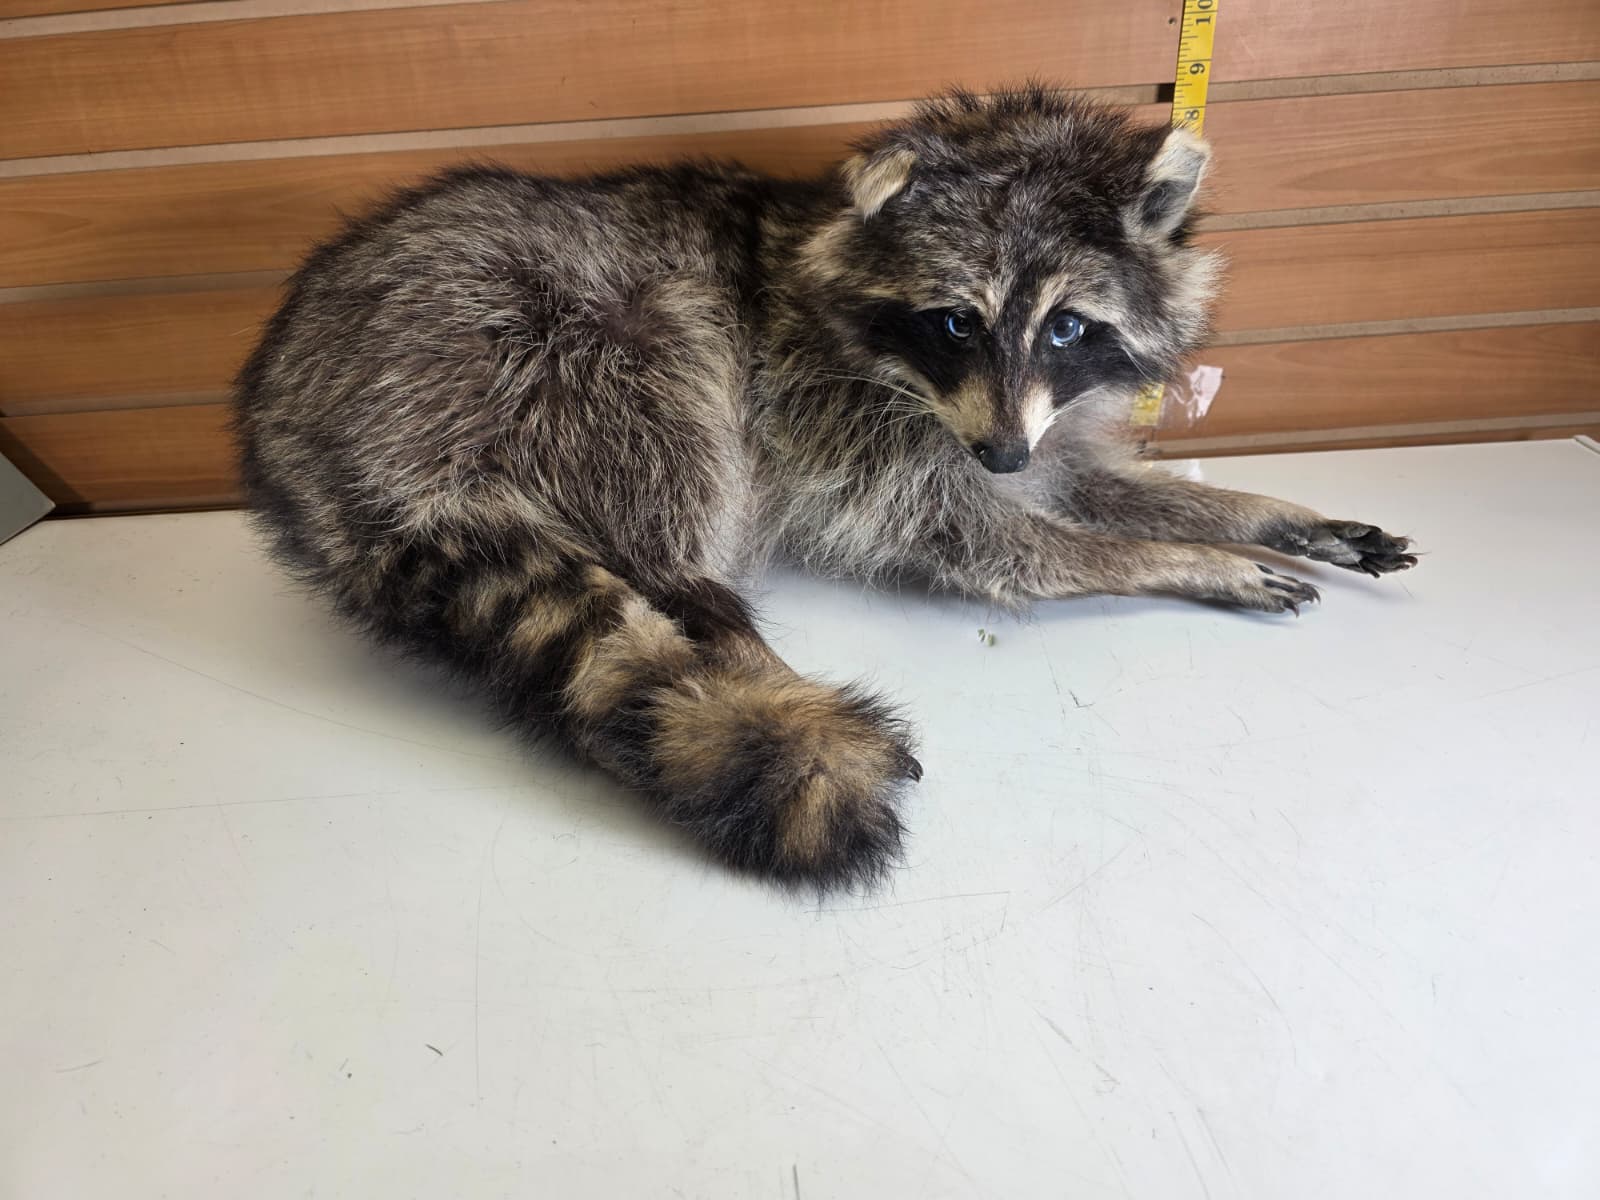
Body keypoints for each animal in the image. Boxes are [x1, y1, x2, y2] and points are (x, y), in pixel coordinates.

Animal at [233, 87, 1415, 890]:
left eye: (1069, 328)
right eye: (957, 321)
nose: (1001, 457)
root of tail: (310, 437)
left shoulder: (1030, 423)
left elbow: (1087, 485)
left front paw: (1255, 516)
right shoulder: (844, 417)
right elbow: (1001, 544)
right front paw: (1189, 559)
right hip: (542, 340)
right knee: (671, 445)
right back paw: (734, 641)